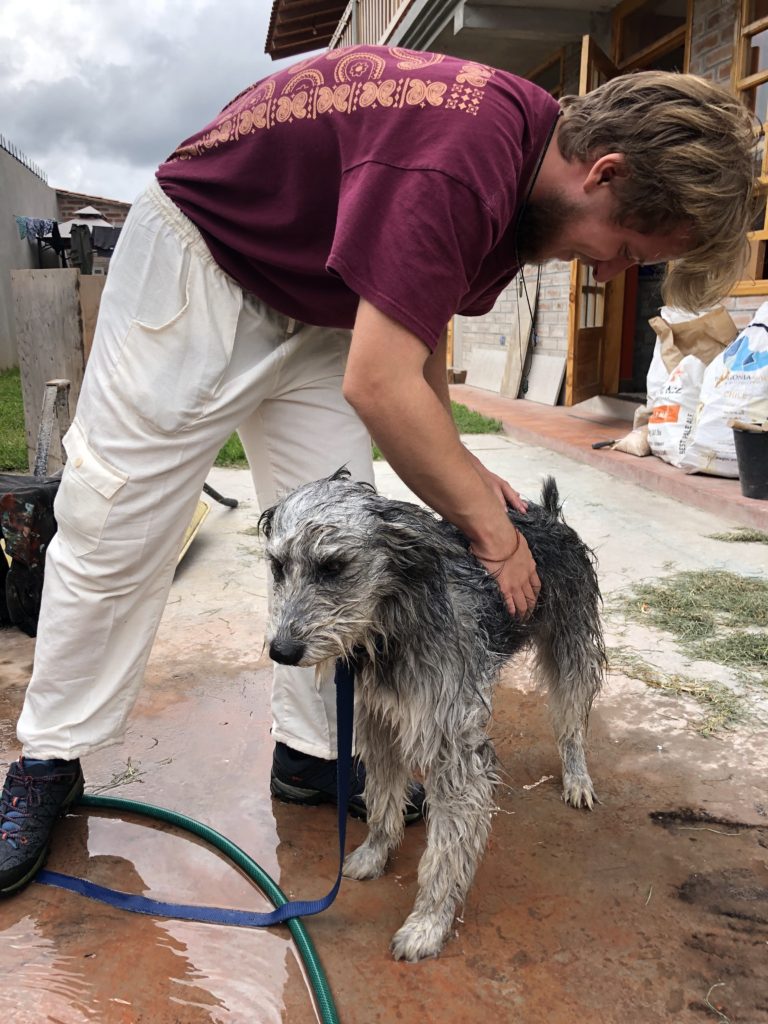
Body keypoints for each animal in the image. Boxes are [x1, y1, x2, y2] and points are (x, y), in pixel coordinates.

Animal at [259, 471, 606, 958]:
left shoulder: (454, 749)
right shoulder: (379, 724)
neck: (393, 623)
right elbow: (383, 801)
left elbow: (445, 851)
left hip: (571, 647)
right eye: (277, 566)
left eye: (333, 567)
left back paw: (577, 778)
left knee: (571, 725)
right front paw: (374, 854)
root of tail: (548, 515)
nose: (282, 651)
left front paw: (428, 923)